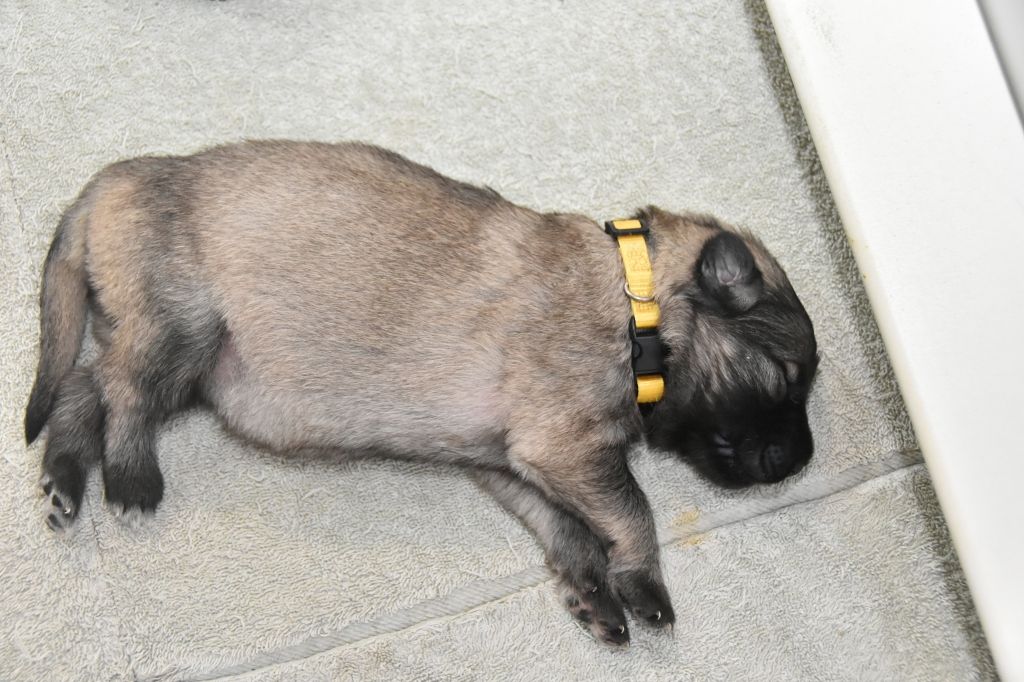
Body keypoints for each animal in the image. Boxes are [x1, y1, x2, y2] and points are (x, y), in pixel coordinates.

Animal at [25, 140, 818, 646]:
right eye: (784, 377)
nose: (802, 460)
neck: (635, 300)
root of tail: (116, 178)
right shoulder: (564, 444)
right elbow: (634, 509)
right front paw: (645, 585)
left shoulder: (513, 461)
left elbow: (565, 523)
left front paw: (591, 588)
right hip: (181, 326)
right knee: (122, 390)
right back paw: (130, 479)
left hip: (170, 349)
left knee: (82, 385)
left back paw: (63, 479)